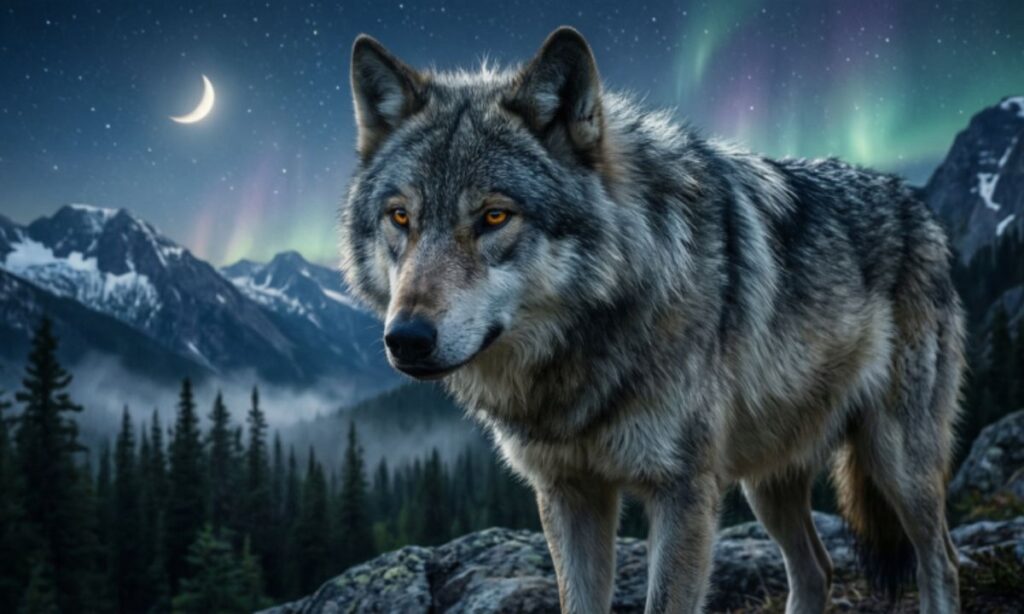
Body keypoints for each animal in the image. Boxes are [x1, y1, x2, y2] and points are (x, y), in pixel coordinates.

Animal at [338, 26, 964, 614]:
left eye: (494, 217)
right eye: (401, 217)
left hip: (897, 461)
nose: (406, 339)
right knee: (818, 568)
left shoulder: (683, 493)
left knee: (942, 559)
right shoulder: (568, 492)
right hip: (766, 482)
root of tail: (918, 204)